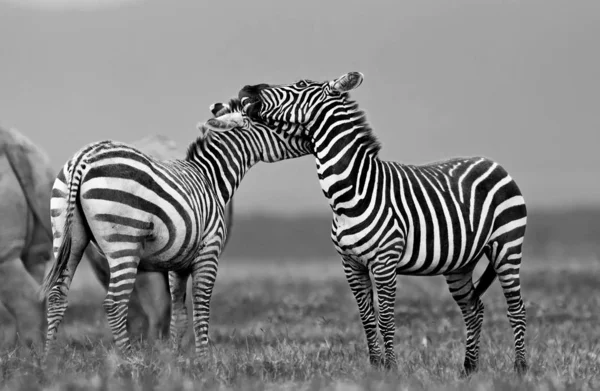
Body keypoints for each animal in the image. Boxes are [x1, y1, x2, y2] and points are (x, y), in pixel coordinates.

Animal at [40, 99, 312, 362]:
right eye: (275, 123)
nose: (309, 137)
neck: (211, 179)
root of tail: (84, 158)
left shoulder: (178, 263)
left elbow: (178, 315)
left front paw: (174, 359)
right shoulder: (208, 251)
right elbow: (201, 307)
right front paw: (204, 362)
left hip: (68, 236)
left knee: (57, 295)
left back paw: (50, 359)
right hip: (123, 242)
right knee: (114, 303)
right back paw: (129, 360)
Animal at [239, 73, 528, 376]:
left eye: (301, 85)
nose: (246, 89)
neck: (351, 193)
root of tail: (493, 163)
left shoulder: (384, 262)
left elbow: (386, 317)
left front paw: (390, 368)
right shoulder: (351, 264)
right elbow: (367, 318)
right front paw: (375, 367)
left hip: (507, 246)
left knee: (516, 308)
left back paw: (520, 368)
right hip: (460, 263)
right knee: (474, 309)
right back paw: (468, 369)